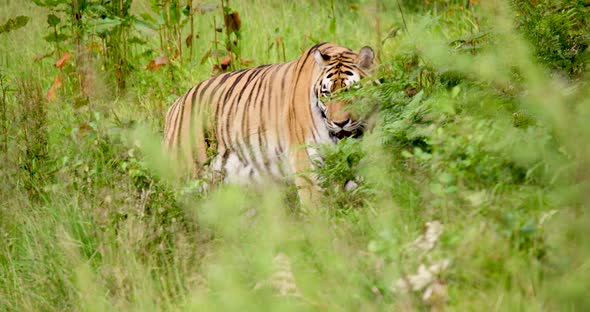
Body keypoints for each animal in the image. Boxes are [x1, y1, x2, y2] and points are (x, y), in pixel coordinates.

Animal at [163, 42, 374, 202]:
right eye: (327, 93)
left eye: (351, 91)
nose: (340, 123)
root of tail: (174, 106)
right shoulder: (304, 159)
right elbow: (314, 204)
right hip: (187, 175)